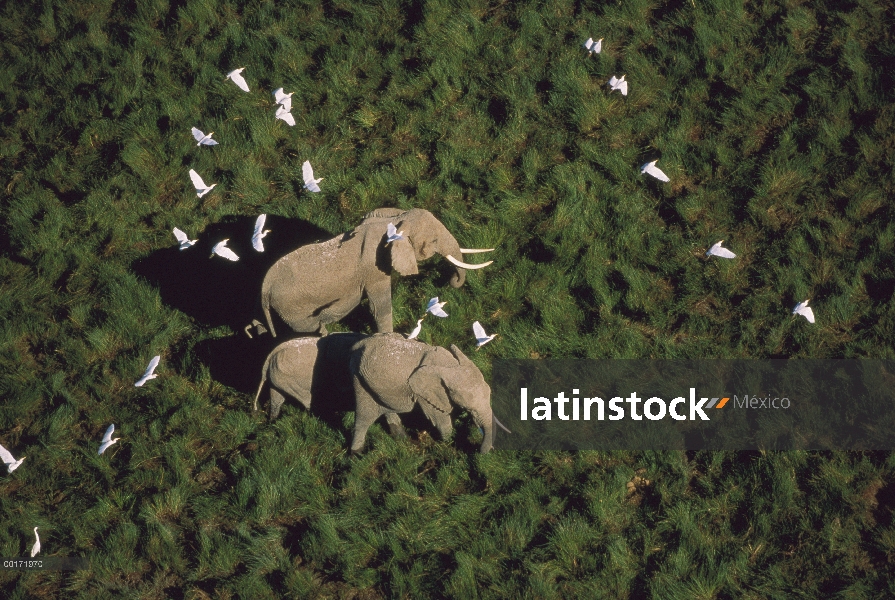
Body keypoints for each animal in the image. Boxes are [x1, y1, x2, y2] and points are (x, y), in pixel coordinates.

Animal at [252, 207, 494, 338]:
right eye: (434, 241)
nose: (451, 280)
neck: (394, 221)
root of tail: (263, 288)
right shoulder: (373, 270)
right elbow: (380, 307)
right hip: (291, 307)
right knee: (309, 327)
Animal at [348, 330, 508, 452]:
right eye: (468, 408)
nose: (481, 451)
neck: (449, 364)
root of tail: (357, 344)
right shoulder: (424, 394)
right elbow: (441, 420)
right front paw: (449, 444)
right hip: (358, 377)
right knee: (364, 417)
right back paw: (357, 454)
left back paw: (402, 439)